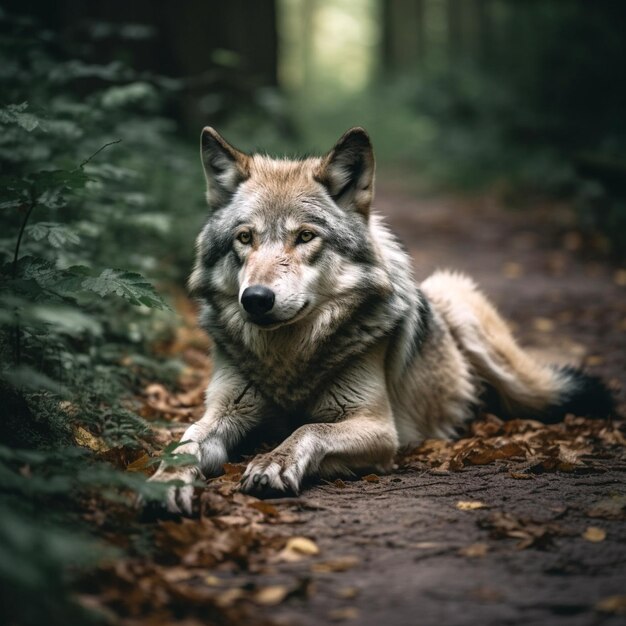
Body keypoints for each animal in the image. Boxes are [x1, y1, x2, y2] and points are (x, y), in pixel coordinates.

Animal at [149, 125, 612, 512]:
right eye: (245, 238)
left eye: (305, 236)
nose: (256, 299)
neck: (288, 364)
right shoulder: (224, 411)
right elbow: (184, 443)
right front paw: (162, 482)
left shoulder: (378, 429)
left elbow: (307, 430)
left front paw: (272, 462)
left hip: (481, 332)